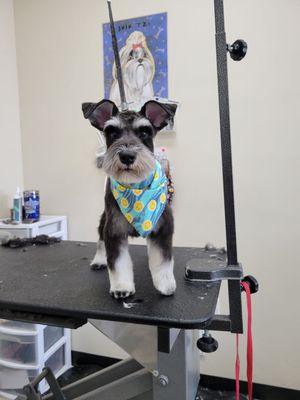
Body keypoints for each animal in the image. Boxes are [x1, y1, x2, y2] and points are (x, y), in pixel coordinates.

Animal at [82, 99, 176, 300]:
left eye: (144, 132)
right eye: (111, 132)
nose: (127, 156)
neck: (135, 187)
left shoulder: (163, 229)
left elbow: (162, 260)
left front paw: (165, 285)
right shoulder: (114, 231)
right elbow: (118, 263)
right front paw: (121, 287)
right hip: (104, 219)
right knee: (100, 240)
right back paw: (99, 260)